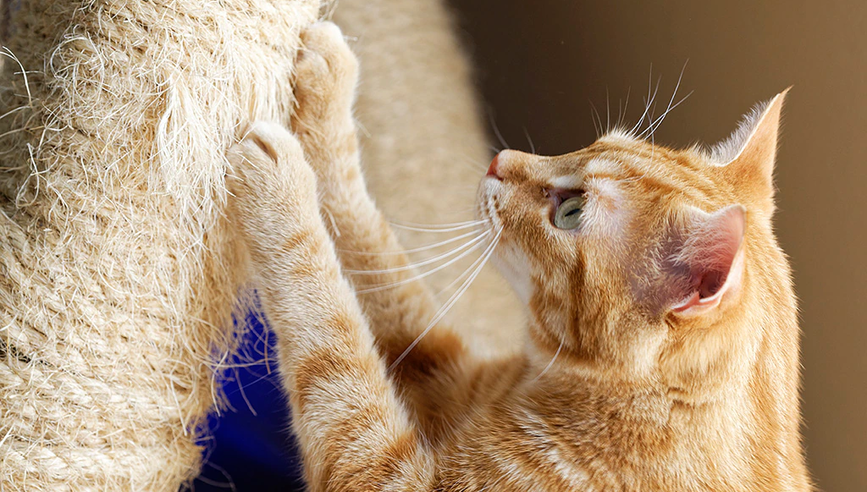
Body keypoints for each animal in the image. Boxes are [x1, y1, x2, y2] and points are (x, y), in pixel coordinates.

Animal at [227, 21, 812, 490]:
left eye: (571, 212)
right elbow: (371, 247)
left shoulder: (383, 472)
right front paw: (329, 86)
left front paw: (281, 188)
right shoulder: (443, 369)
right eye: (592, 141)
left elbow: (330, 330)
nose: (499, 159)